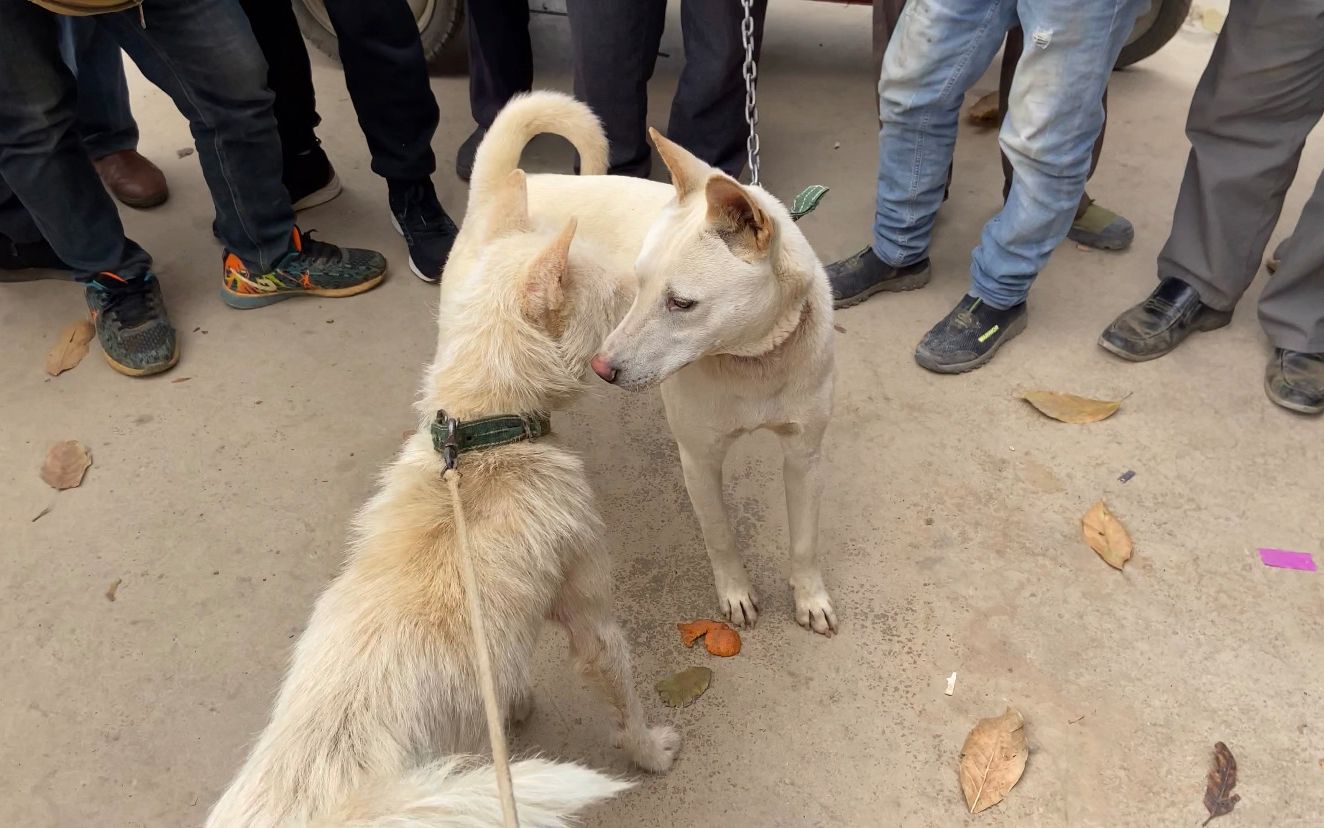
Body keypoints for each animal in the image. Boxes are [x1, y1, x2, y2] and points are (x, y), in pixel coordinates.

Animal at [471, 92, 831, 633]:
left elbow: (806, 540)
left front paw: (810, 597)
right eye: (638, 283)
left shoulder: (803, 455)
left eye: (681, 303)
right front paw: (736, 593)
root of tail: (500, 186)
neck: (754, 363)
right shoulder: (699, 461)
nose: (602, 369)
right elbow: (720, 537)